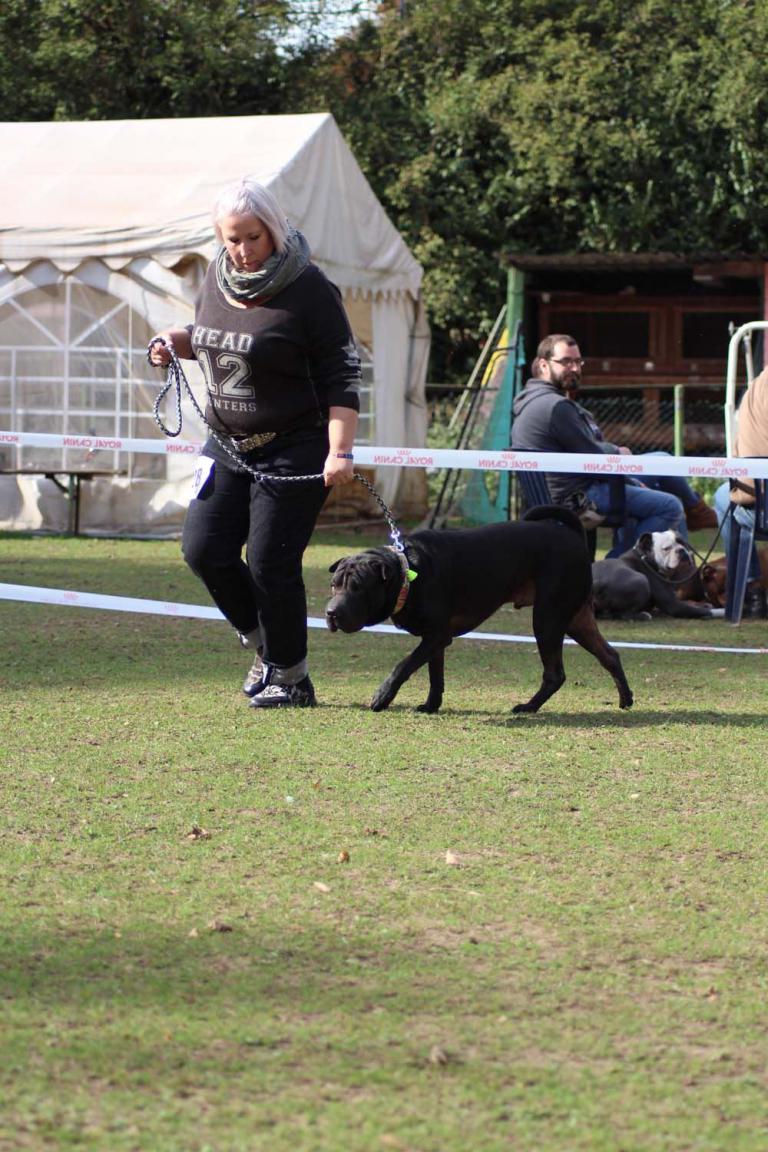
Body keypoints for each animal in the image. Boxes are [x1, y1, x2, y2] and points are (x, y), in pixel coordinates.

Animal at [325, 506, 633, 715]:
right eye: (334, 585)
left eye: (358, 587)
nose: (331, 612)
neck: (407, 574)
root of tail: (572, 536)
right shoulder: (435, 638)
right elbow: (434, 674)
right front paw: (431, 705)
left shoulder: (437, 635)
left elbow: (404, 665)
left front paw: (382, 695)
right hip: (576, 619)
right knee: (609, 655)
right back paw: (625, 698)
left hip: (548, 618)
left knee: (555, 673)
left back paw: (528, 707)